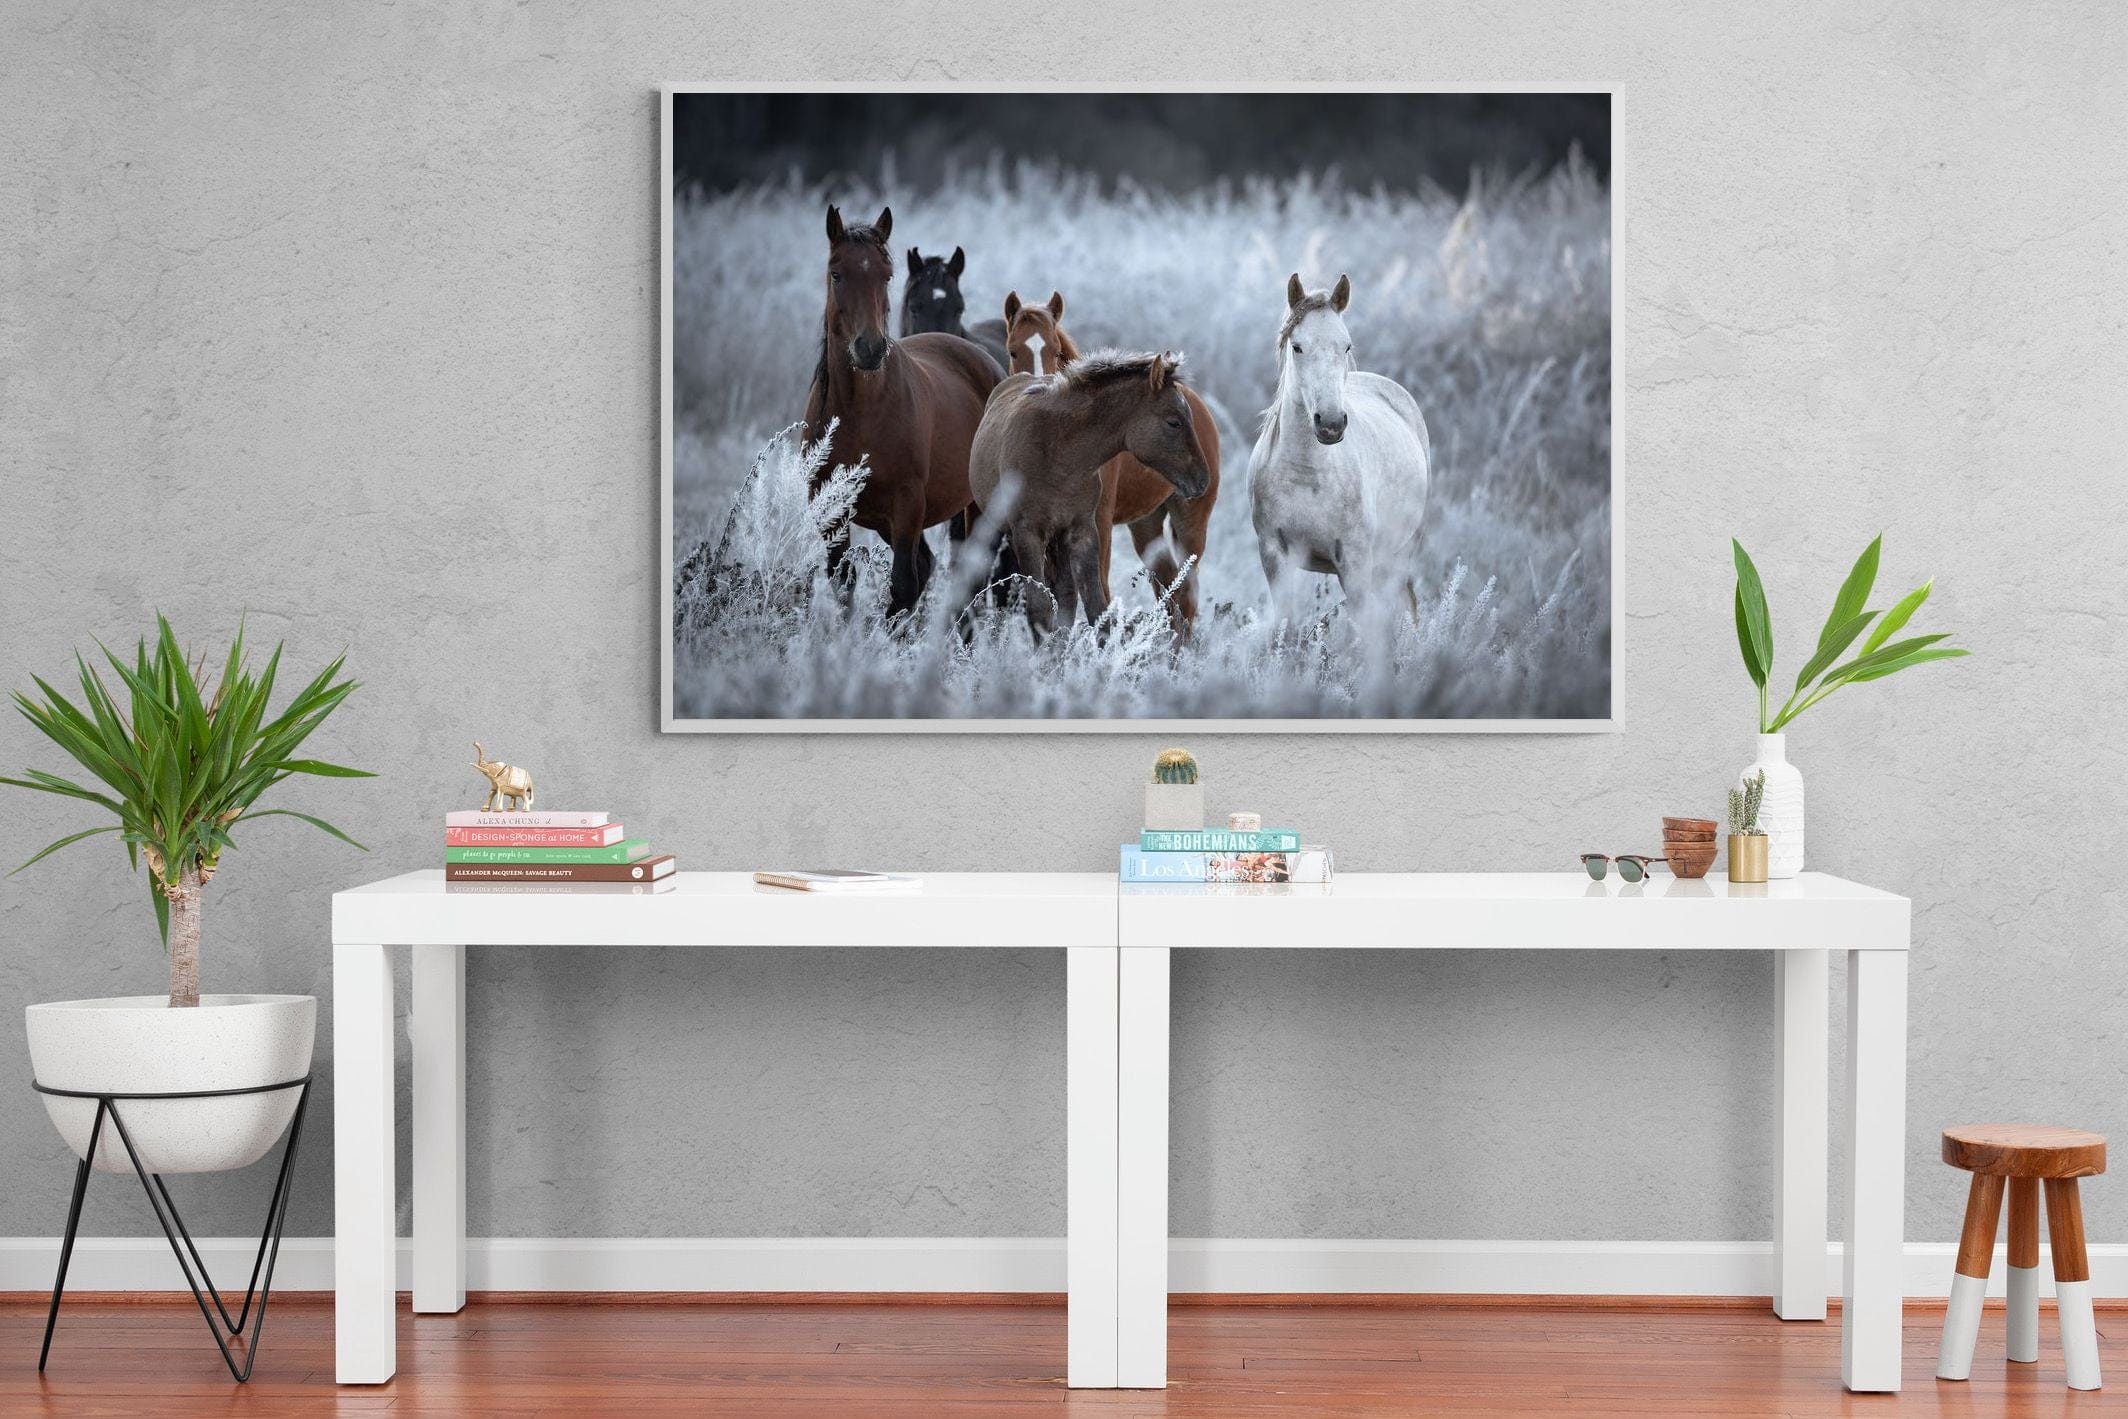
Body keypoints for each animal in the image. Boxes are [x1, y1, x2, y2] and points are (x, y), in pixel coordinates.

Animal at [803, 206, 1002, 616]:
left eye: (886, 275)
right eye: (836, 273)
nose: (869, 349)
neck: (859, 413)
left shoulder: (907, 506)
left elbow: (903, 586)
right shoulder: (832, 512)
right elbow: (843, 585)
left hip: (975, 506)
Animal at [968, 350, 1212, 632]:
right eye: (1174, 422)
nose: (1202, 479)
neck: (1058, 453)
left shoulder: (1081, 531)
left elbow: (1096, 607)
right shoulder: (1027, 533)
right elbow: (1040, 609)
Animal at [1003, 290, 1221, 636]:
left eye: (1055, 349)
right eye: (1013, 349)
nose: (1035, 386)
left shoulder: (1098, 522)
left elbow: (1099, 592)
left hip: (1191, 520)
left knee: (1186, 595)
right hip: (1146, 523)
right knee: (1168, 587)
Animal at [1249, 273, 1431, 616]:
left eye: (1346, 345)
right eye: (1297, 347)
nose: (1331, 424)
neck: (1306, 475)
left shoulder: (1354, 562)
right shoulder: (1275, 558)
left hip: (1399, 556)